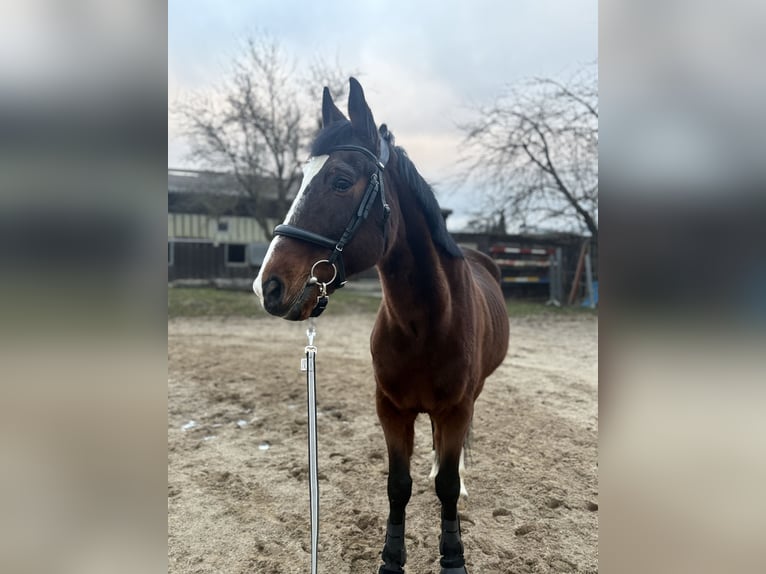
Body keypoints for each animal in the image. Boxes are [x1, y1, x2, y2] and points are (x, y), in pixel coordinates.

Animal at [255, 77, 512, 574]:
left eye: (340, 181)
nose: (268, 286)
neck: (425, 325)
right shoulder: (390, 410)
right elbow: (398, 485)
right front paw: (391, 559)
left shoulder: (456, 409)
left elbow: (446, 487)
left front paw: (453, 557)